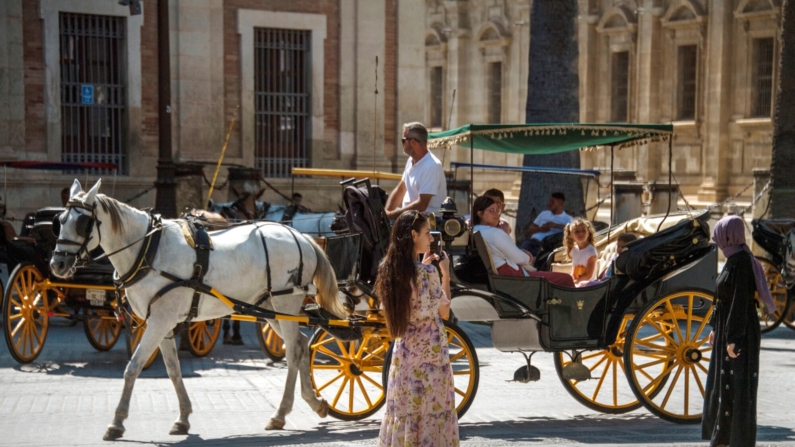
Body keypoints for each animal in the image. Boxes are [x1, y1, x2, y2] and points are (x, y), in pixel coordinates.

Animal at [49, 178, 348, 440]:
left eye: (82, 222)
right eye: (59, 222)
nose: (57, 264)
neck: (148, 250)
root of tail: (300, 236)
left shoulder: (159, 321)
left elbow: (133, 367)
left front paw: (117, 422)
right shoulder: (162, 322)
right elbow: (172, 369)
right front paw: (183, 417)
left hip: (285, 302)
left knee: (294, 350)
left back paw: (284, 411)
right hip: (268, 306)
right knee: (299, 344)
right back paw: (310, 403)